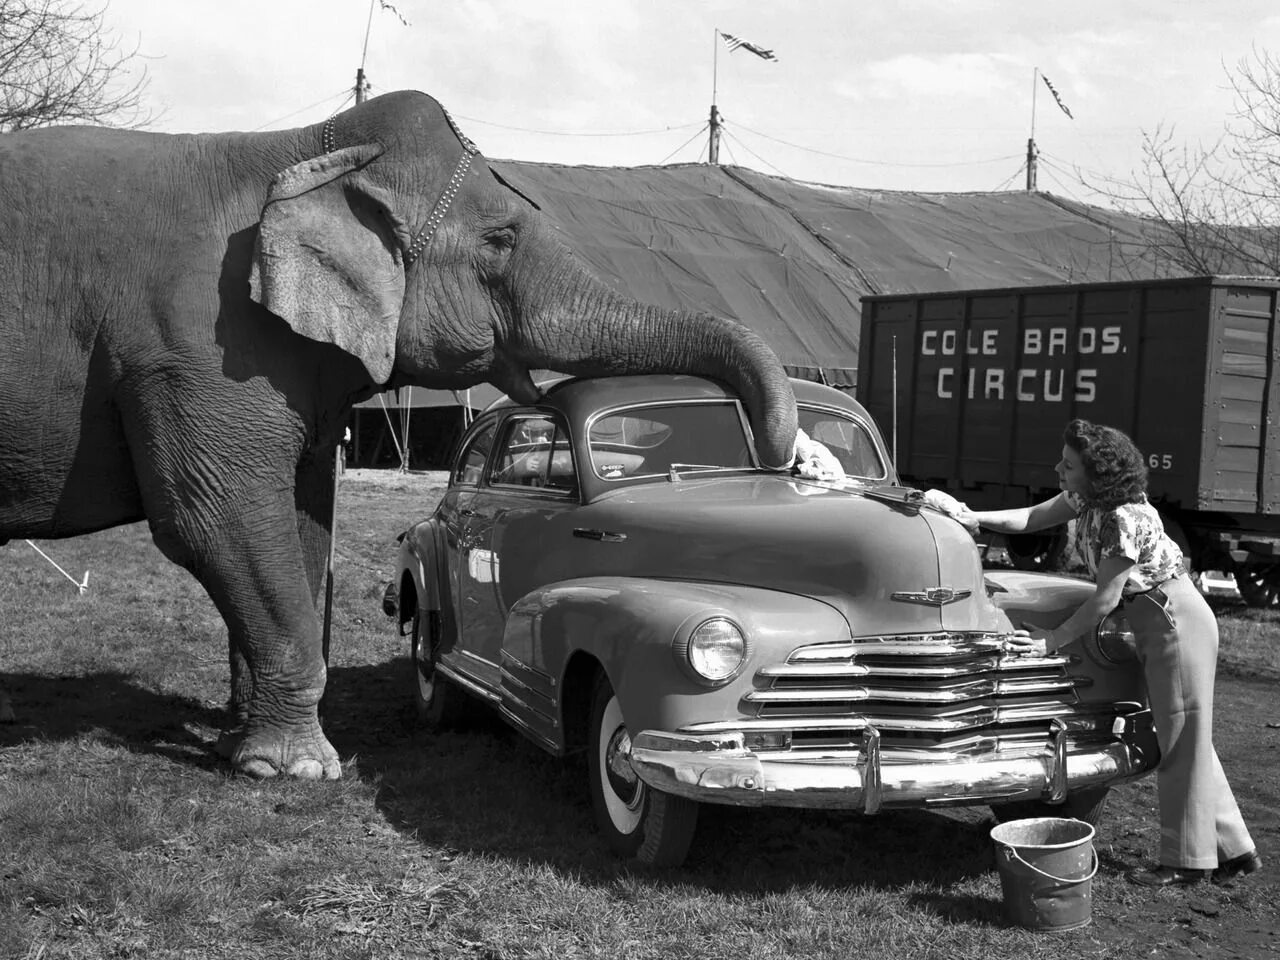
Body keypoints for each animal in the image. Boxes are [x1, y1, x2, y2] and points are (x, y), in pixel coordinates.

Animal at [0, 90, 798, 783]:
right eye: (501, 237)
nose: (782, 460)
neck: (300, 150)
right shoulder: (193, 348)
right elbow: (215, 520)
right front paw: (297, 770)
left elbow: (301, 521)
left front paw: (241, 747)